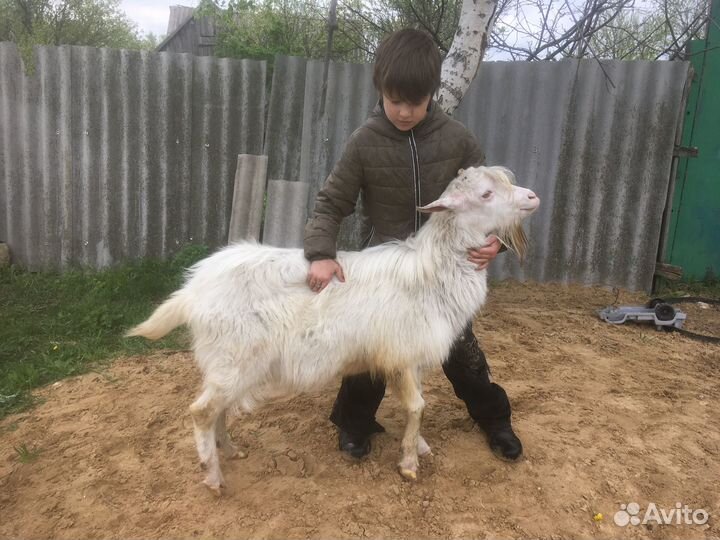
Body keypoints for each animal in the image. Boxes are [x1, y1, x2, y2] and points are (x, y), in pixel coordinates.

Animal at [126, 165, 540, 494]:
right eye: (486, 194)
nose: (533, 196)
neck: (429, 272)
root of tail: (193, 288)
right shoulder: (401, 355)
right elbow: (417, 406)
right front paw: (409, 463)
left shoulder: (410, 355)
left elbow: (417, 404)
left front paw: (418, 446)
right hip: (234, 357)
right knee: (201, 411)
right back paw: (213, 477)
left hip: (232, 363)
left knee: (218, 409)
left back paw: (229, 450)